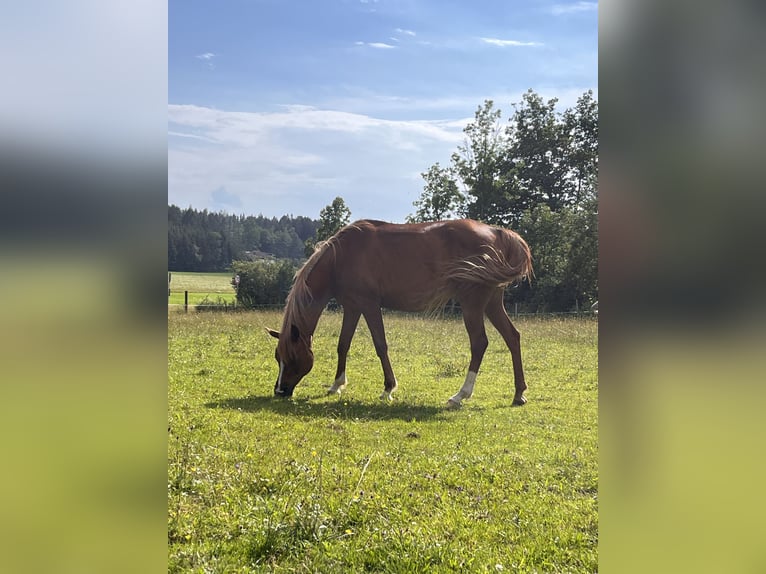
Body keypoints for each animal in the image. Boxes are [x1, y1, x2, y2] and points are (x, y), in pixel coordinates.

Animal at [268, 217, 536, 410]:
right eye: (277, 357)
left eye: (292, 357)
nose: (280, 391)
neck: (341, 257)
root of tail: (497, 232)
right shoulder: (352, 307)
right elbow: (343, 344)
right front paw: (336, 385)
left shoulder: (369, 305)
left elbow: (380, 345)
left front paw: (388, 388)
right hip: (491, 303)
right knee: (512, 337)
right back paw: (519, 394)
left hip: (473, 303)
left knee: (480, 343)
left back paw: (460, 395)